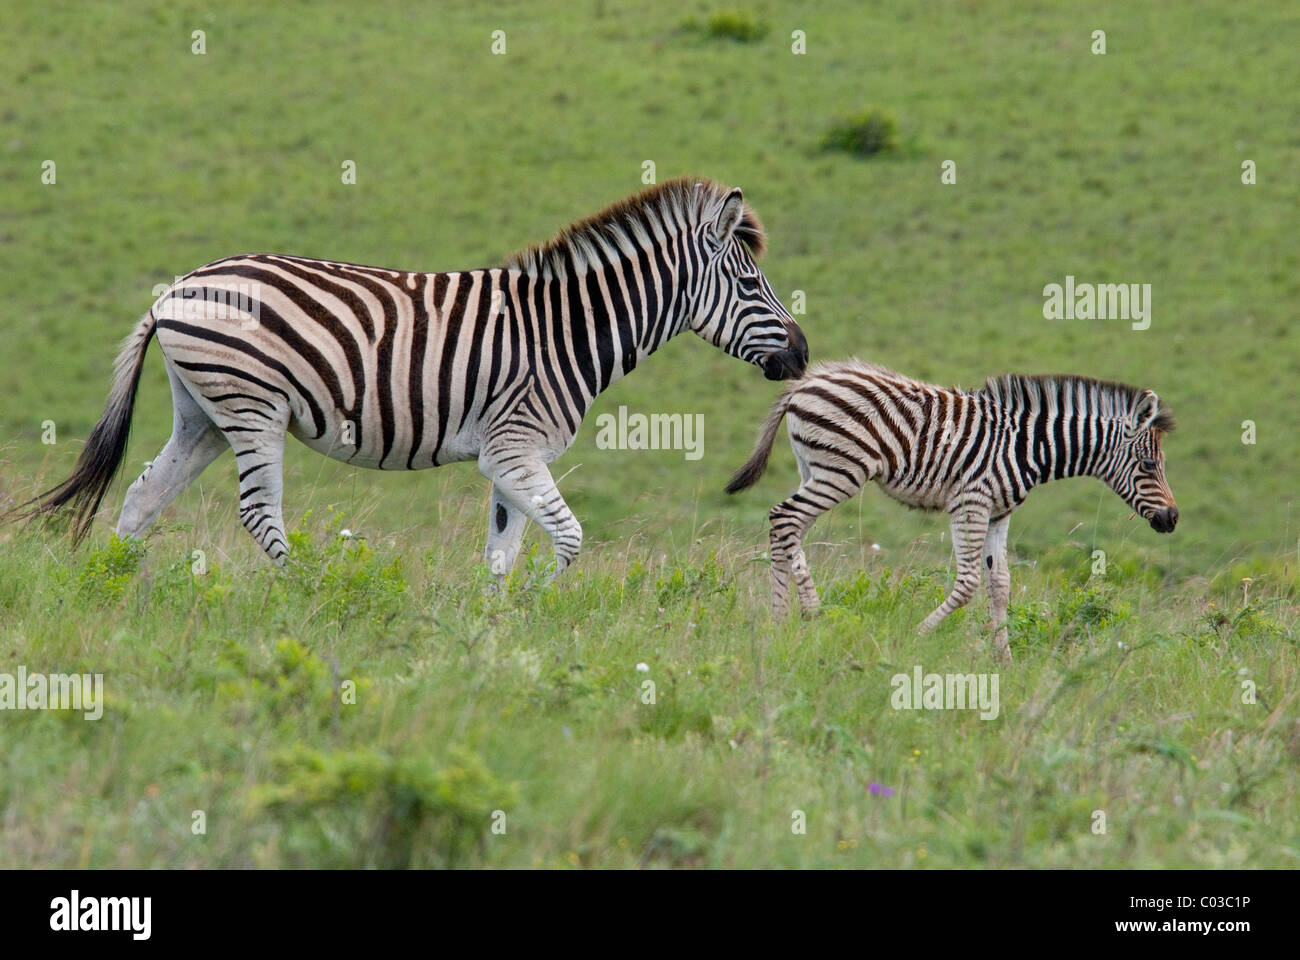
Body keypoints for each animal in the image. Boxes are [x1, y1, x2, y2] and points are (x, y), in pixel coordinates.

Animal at [10, 178, 806, 574]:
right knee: (259, 515)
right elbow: (570, 540)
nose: (801, 355)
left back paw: (123, 592)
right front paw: (546, 612)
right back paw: (306, 597)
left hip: (204, 415)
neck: (566, 330)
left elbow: (501, 554)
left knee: (141, 499)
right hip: (252, 408)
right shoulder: (515, 447)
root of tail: (173, 290)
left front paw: (492, 641)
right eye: (751, 282)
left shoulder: (507, 459)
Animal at [728, 359, 1185, 658]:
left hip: (814, 468)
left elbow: (1000, 585)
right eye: (1149, 466)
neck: (1026, 447)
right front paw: (916, 636)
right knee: (785, 518)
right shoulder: (971, 503)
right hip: (841, 470)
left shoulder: (999, 513)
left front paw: (1004, 659)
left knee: (790, 527)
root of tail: (806, 381)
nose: (1173, 519)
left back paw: (789, 617)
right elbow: (967, 584)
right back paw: (799, 614)